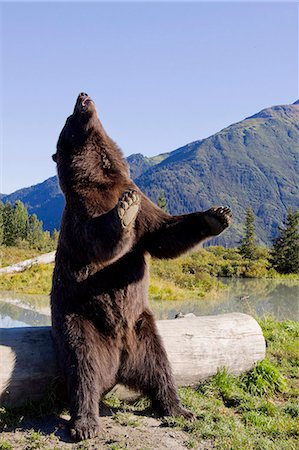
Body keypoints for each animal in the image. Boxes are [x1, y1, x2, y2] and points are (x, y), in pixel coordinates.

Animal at [51, 91, 233, 440]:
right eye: (68, 118)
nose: (82, 94)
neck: (102, 178)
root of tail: (119, 361)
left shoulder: (143, 203)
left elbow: (164, 233)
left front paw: (217, 214)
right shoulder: (81, 211)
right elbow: (99, 241)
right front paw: (123, 210)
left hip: (143, 328)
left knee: (161, 368)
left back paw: (178, 409)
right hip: (80, 319)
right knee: (82, 368)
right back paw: (85, 423)